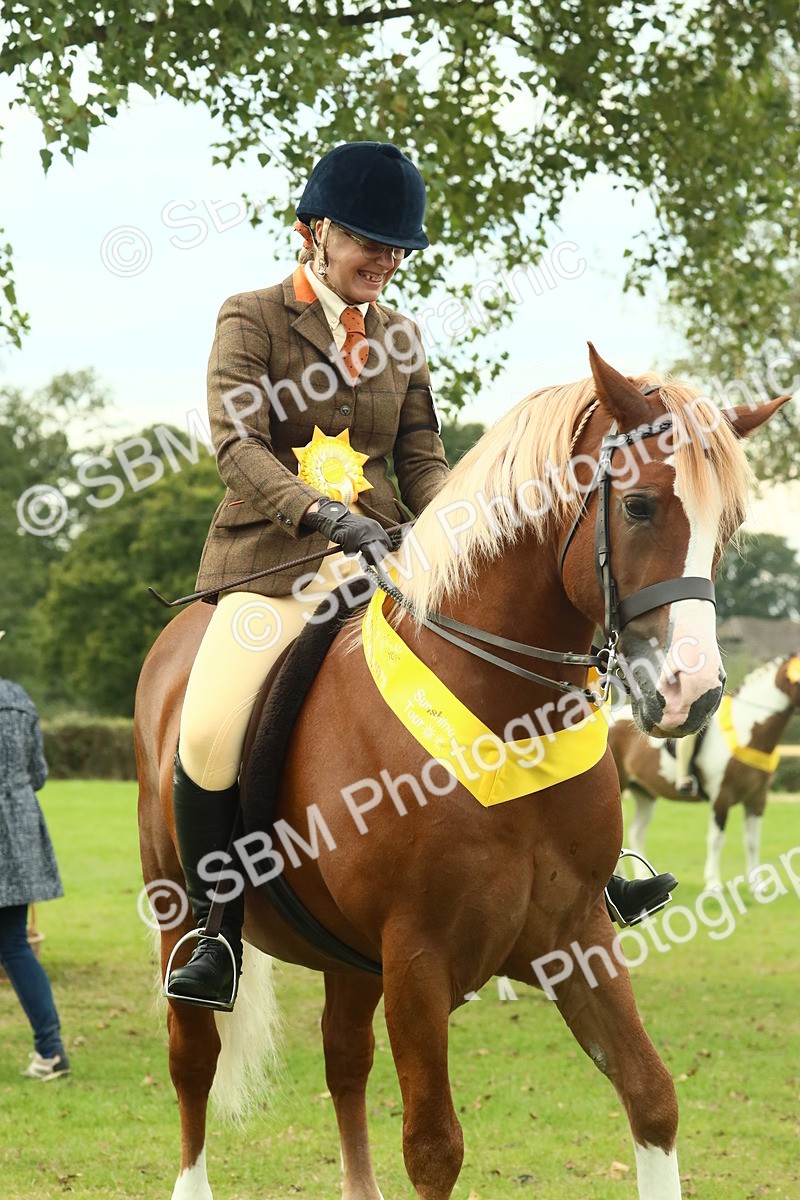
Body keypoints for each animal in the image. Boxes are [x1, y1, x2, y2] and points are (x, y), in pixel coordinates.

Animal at [609, 654, 800, 891]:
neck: (747, 731)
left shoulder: (756, 799)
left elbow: (752, 841)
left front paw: (757, 885)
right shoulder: (721, 797)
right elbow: (716, 839)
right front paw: (713, 883)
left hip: (644, 794)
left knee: (636, 832)